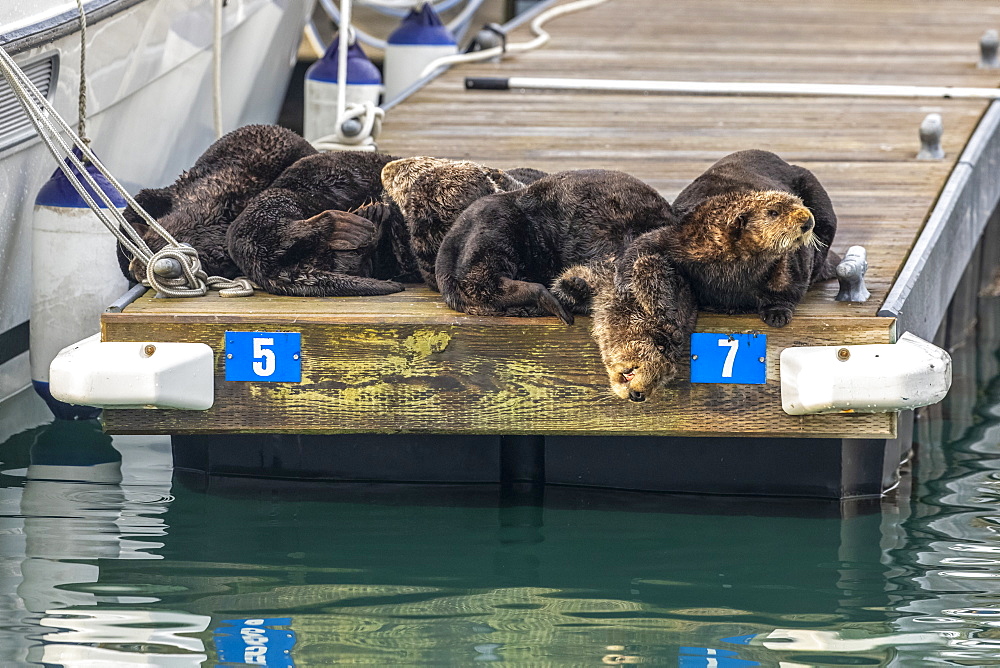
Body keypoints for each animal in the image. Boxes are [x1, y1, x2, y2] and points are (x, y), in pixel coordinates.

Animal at [628, 150, 840, 330]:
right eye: (773, 213)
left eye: (801, 203)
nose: (808, 220)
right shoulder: (685, 238)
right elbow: (645, 247)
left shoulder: (791, 262)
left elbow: (791, 284)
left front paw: (777, 314)